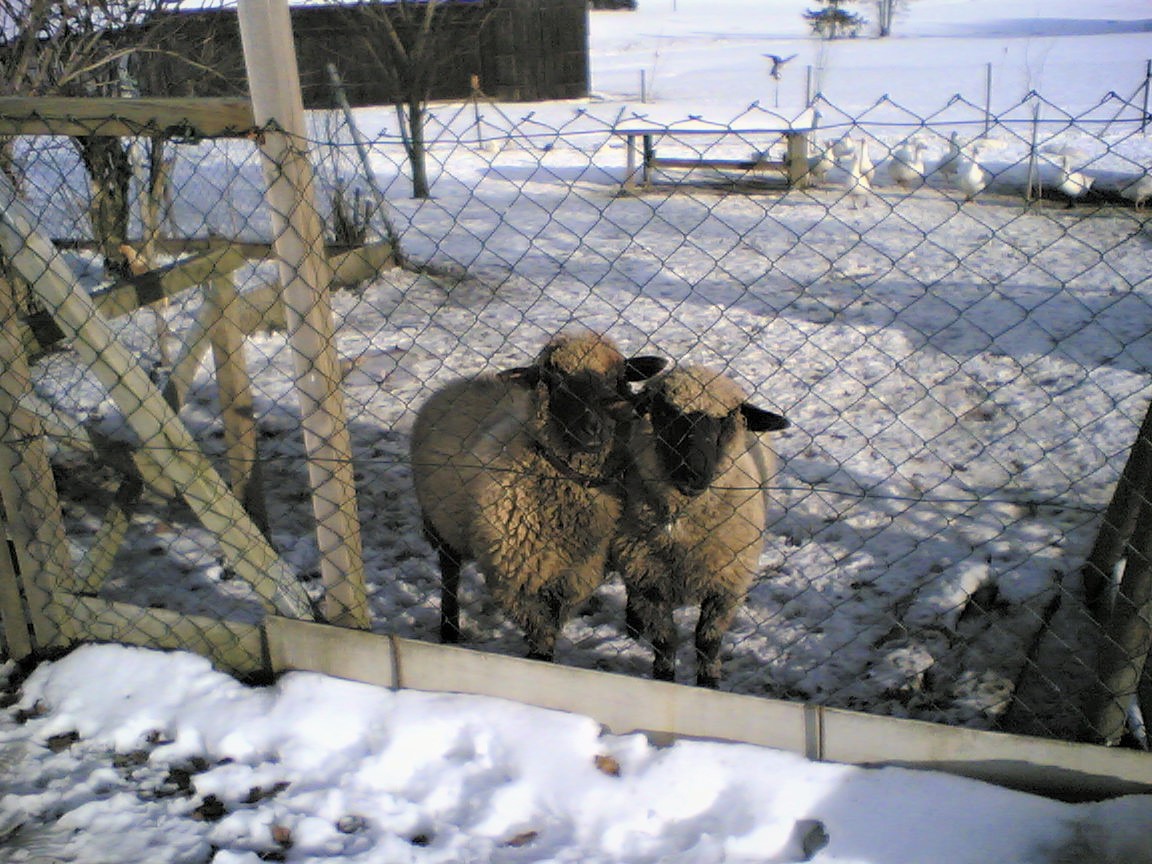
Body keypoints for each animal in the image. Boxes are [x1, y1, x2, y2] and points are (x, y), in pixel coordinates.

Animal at [412, 331, 668, 663]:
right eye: (555, 382)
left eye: (618, 379)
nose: (592, 429)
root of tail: (457, 383)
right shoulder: (517, 580)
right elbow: (540, 631)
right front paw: (539, 661)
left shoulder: (575, 576)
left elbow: (552, 624)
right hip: (441, 525)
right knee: (449, 575)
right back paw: (449, 629)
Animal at [612, 366, 792, 691]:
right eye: (665, 413)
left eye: (724, 420)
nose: (692, 475)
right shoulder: (647, 577)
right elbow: (665, 640)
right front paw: (664, 678)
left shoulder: (727, 584)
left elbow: (707, 642)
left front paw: (709, 683)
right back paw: (634, 624)